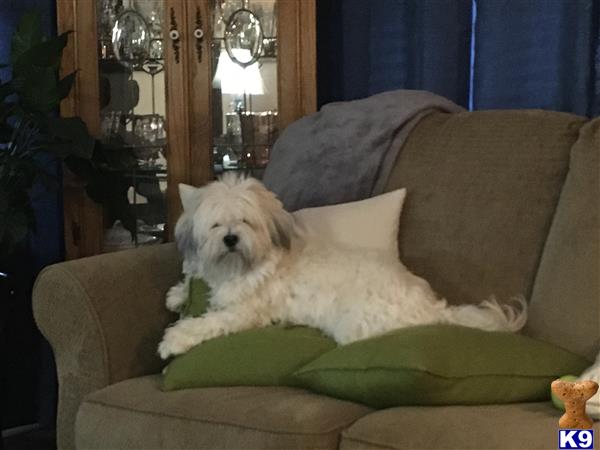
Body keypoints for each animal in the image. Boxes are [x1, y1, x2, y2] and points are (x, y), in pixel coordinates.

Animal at [157, 175, 528, 358]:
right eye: (217, 225)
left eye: (246, 221)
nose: (231, 239)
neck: (241, 266)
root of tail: (434, 308)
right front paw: (178, 294)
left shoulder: (243, 312)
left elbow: (208, 323)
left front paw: (173, 340)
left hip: (354, 323)